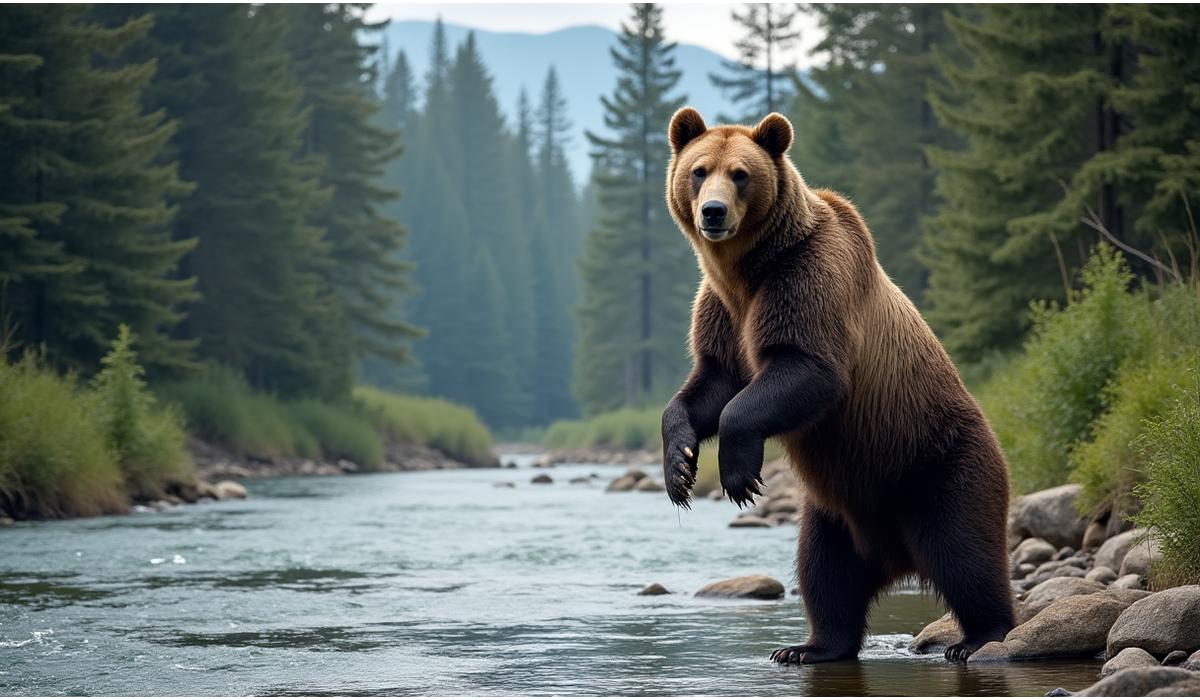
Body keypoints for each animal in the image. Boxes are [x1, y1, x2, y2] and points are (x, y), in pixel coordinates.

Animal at [659, 107, 1015, 664]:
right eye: (699, 171)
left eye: (740, 174)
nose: (713, 212)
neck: (746, 271)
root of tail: (896, 558)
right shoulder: (722, 312)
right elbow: (709, 386)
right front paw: (679, 467)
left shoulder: (807, 279)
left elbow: (807, 368)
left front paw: (740, 476)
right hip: (834, 510)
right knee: (825, 573)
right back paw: (810, 646)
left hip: (939, 464)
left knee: (966, 554)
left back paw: (981, 634)